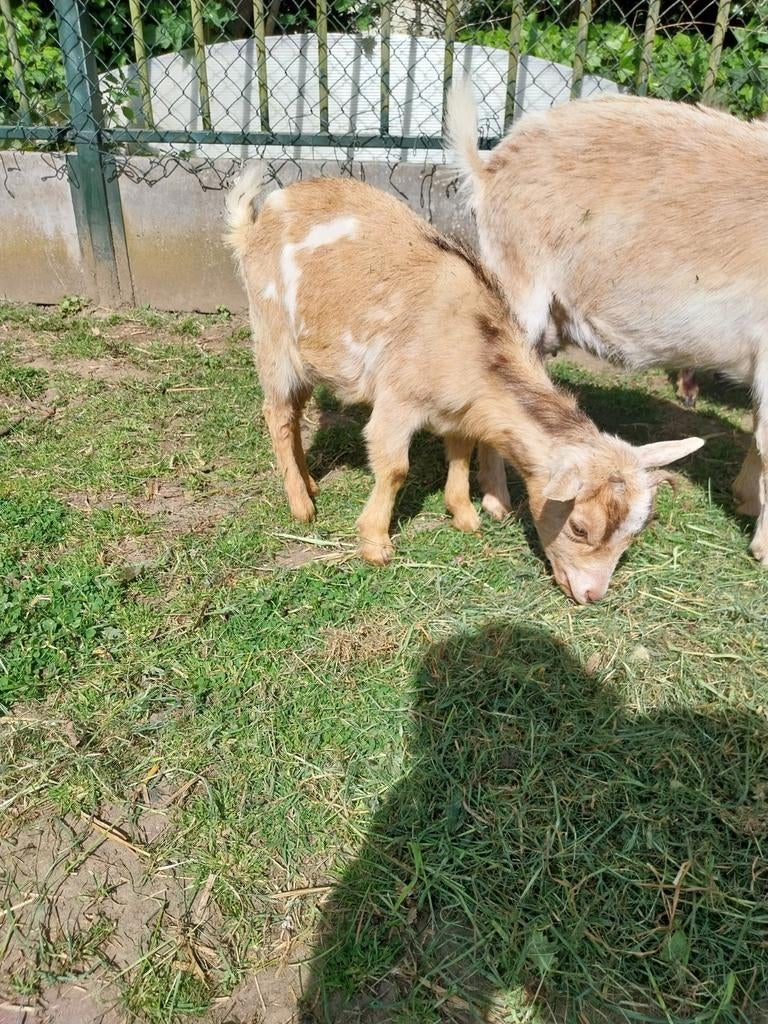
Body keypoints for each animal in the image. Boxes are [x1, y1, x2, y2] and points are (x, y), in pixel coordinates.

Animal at [225, 169, 703, 603]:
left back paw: (311, 485)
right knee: (276, 414)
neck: (470, 342)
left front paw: (464, 515)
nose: (591, 595)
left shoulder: (457, 410)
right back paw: (301, 506)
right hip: (273, 337)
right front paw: (376, 544)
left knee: (294, 414)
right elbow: (395, 468)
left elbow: (461, 451)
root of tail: (257, 222)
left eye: (633, 534)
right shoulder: (398, 401)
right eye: (580, 526)